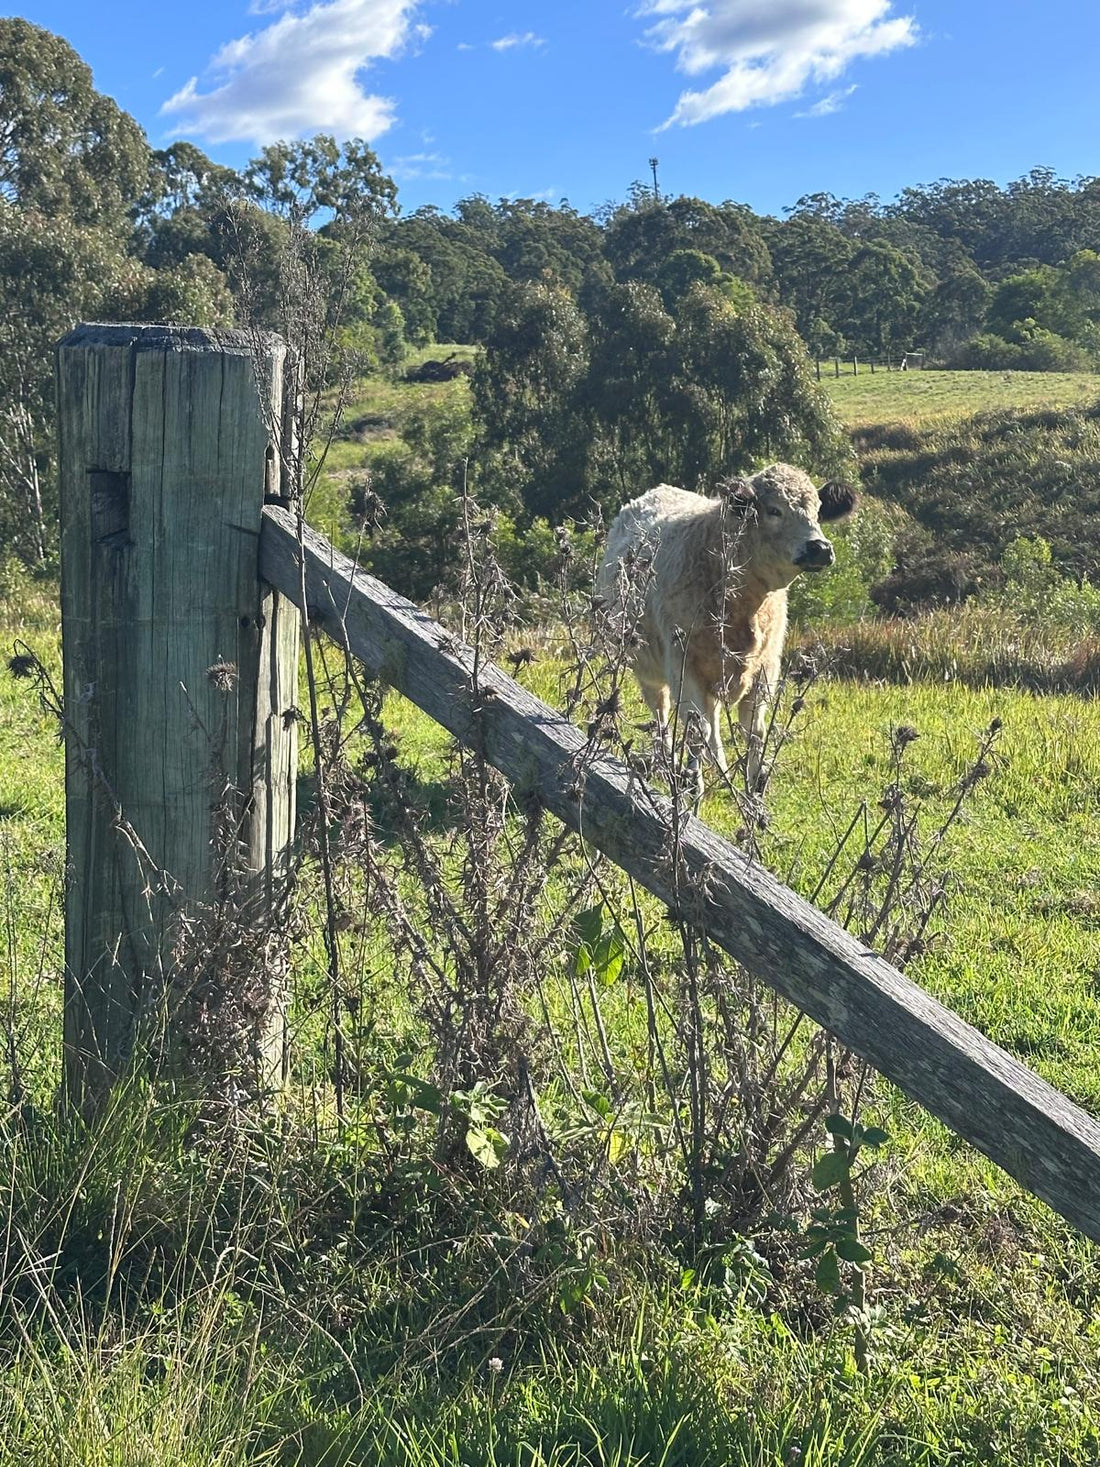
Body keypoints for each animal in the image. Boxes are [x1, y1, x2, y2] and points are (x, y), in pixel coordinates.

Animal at [596, 463, 857, 796]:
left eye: (817, 510)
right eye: (774, 510)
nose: (819, 548)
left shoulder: (766, 668)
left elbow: (754, 731)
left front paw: (754, 790)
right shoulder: (683, 666)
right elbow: (696, 729)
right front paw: (694, 786)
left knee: (713, 722)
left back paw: (718, 767)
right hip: (647, 668)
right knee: (662, 715)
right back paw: (670, 765)